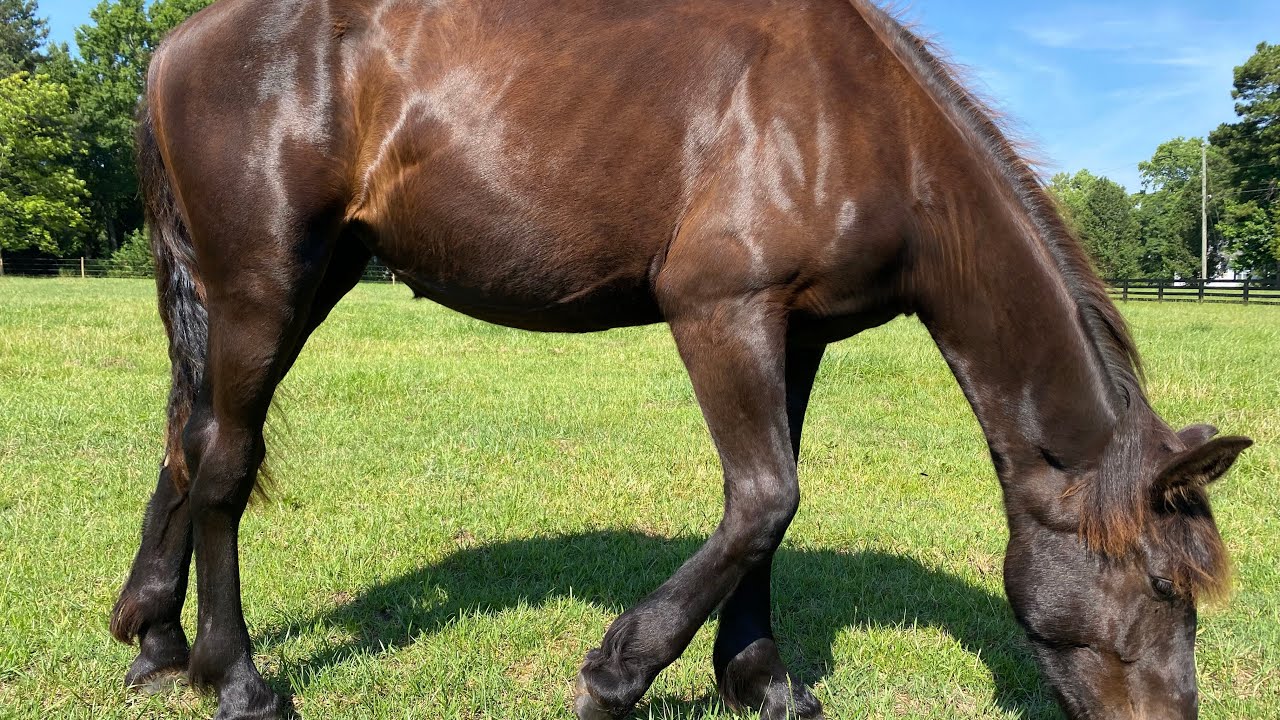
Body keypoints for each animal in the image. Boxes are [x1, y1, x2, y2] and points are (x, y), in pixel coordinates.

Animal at [109, 1, 1252, 718]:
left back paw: (156, 642)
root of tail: (175, 45)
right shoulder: (719, 311)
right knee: (224, 462)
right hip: (263, 283)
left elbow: (769, 515)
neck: (862, 128)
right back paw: (237, 681)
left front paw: (763, 681)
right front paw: (617, 676)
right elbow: (764, 499)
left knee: (190, 438)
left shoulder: (797, 334)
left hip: (306, 279)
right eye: (1162, 583)